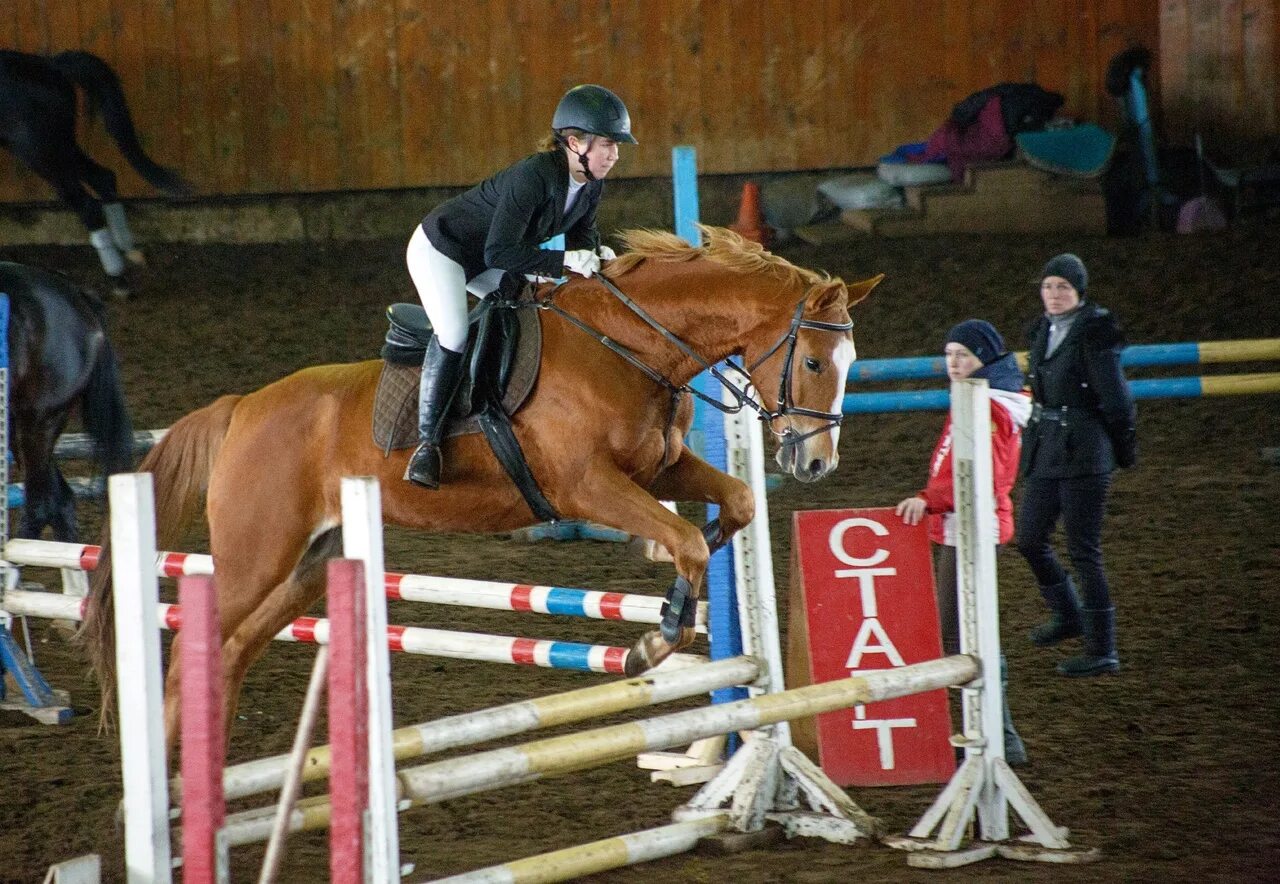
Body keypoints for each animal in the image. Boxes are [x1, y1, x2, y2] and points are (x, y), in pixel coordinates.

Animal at [80, 225, 880, 741]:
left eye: (848, 363)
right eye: (814, 362)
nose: (816, 464)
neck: (628, 348)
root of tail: (241, 407)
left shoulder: (658, 467)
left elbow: (730, 507)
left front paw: (684, 588)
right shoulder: (587, 486)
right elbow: (681, 538)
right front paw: (651, 643)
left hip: (306, 567)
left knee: (233, 652)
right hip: (255, 557)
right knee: (194, 656)